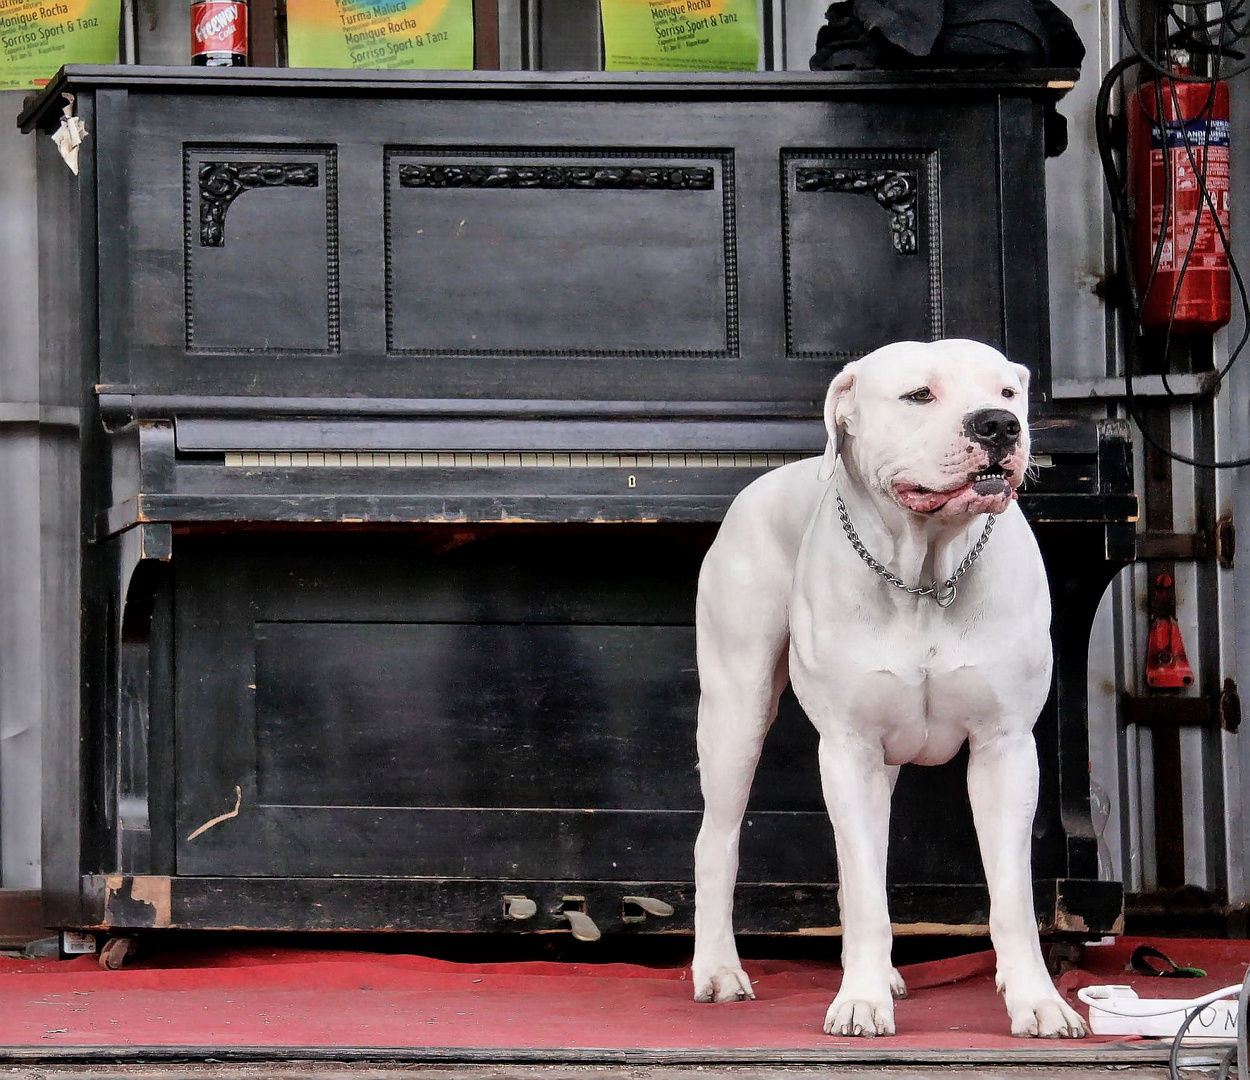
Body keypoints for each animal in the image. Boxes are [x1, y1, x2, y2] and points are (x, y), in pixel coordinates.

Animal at [690, 337, 1090, 1040]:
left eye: (1008, 392)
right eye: (917, 395)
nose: (998, 425)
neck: (926, 570)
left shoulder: (1005, 749)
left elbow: (1011, 895)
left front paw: (1039, 1002)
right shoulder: (848, 746)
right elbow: (869, 890)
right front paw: (860, 1001)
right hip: (736, 713)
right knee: (719, 840)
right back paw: (718, 970)